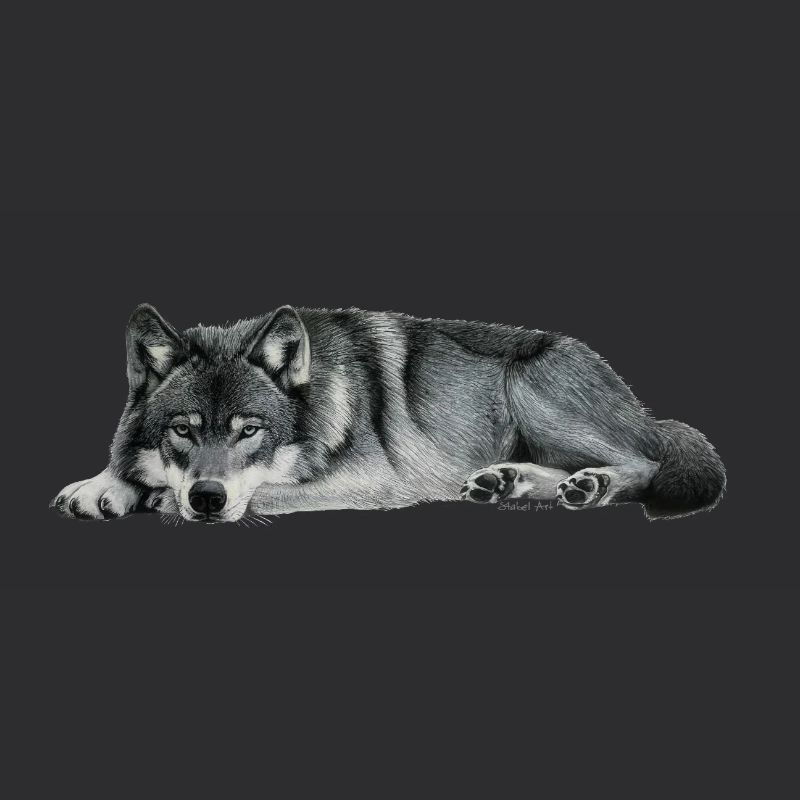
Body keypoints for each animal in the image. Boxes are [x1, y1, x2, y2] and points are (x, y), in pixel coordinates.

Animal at [52, 305, 725, 523]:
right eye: (183, 430)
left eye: (250, 431)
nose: (208, 499)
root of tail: (643, 408)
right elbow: (127, 467)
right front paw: (101, 486)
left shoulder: (375, 481)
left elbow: (263, 491)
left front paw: (159, 497)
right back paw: (506, 481)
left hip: (534, 391)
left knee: (644, 463)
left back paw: (592, 485)